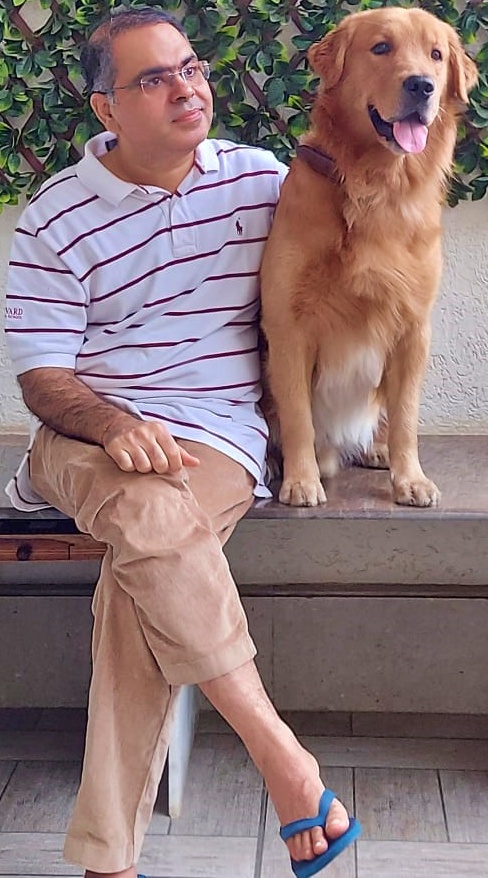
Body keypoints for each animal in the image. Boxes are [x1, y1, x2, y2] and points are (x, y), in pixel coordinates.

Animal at [260, 7, 478, 507]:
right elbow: (298, 415)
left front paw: (409, 478)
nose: (422, 86)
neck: (377, 186)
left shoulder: (414, 327)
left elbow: (405, 417)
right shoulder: (287, 325)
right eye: (381, 47)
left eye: (436, 55)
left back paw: (375, 450)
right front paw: (302, 479)